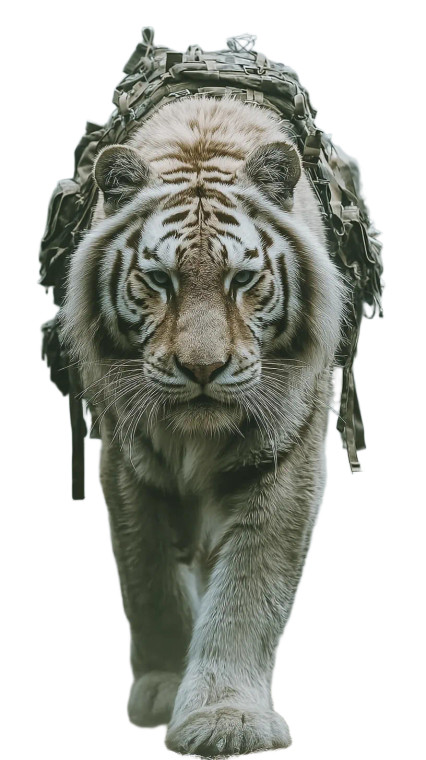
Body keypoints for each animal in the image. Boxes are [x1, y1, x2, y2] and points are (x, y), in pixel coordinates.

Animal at [61, 94, 346, 756]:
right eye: (159, 280)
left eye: (241, 280)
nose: (202, 368)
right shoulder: (127, 463)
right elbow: (149, 578)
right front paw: (165, 687)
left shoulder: (285, 460)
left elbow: (248, 590)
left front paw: (226, 718)